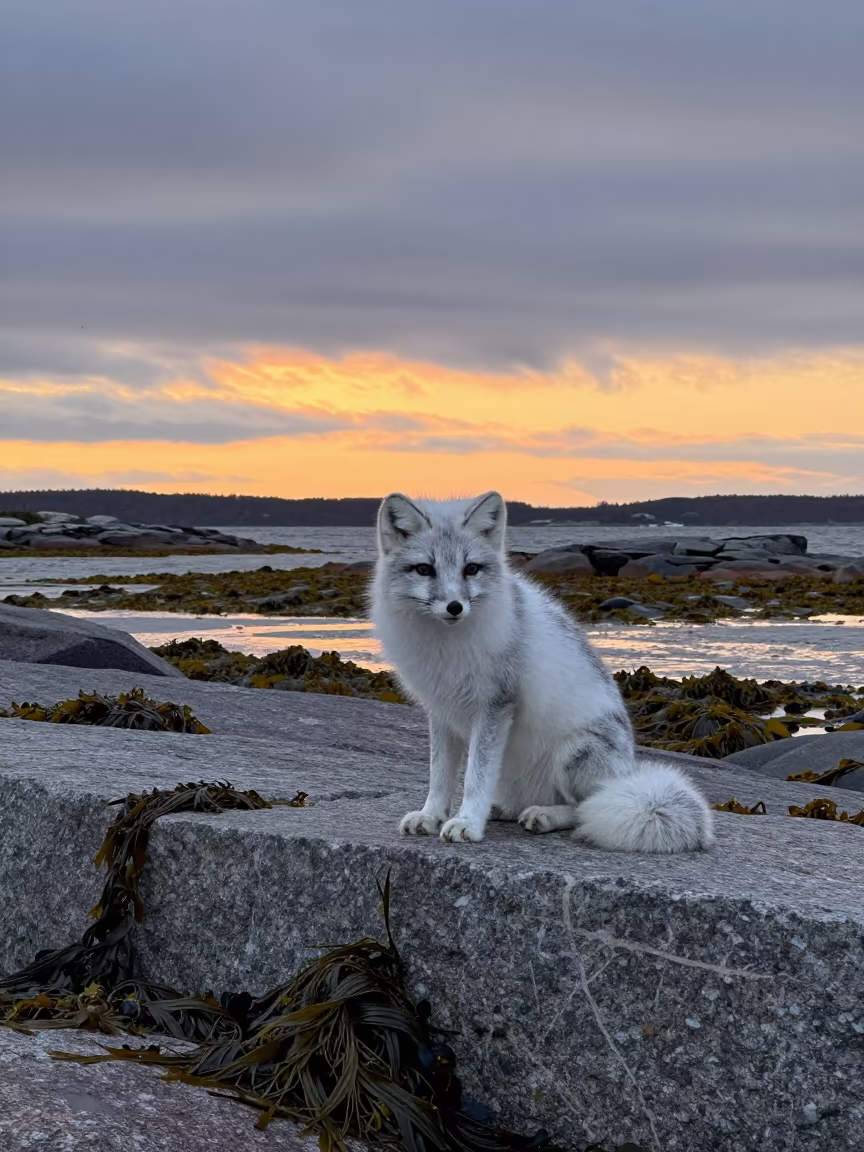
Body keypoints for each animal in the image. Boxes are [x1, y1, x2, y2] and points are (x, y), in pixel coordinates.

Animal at [370, 490, 714, 853]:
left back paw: (544, 815)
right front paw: (431, 815)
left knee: (585, 808)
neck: (444, 646)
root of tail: (627, 772)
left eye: (471, 569)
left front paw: (467, 823)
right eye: (424, 569)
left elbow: (476, 778)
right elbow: (440, 776)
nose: (455, 607)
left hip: (573, 752)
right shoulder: (441, 711)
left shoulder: (495, 706)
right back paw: (503, 809)